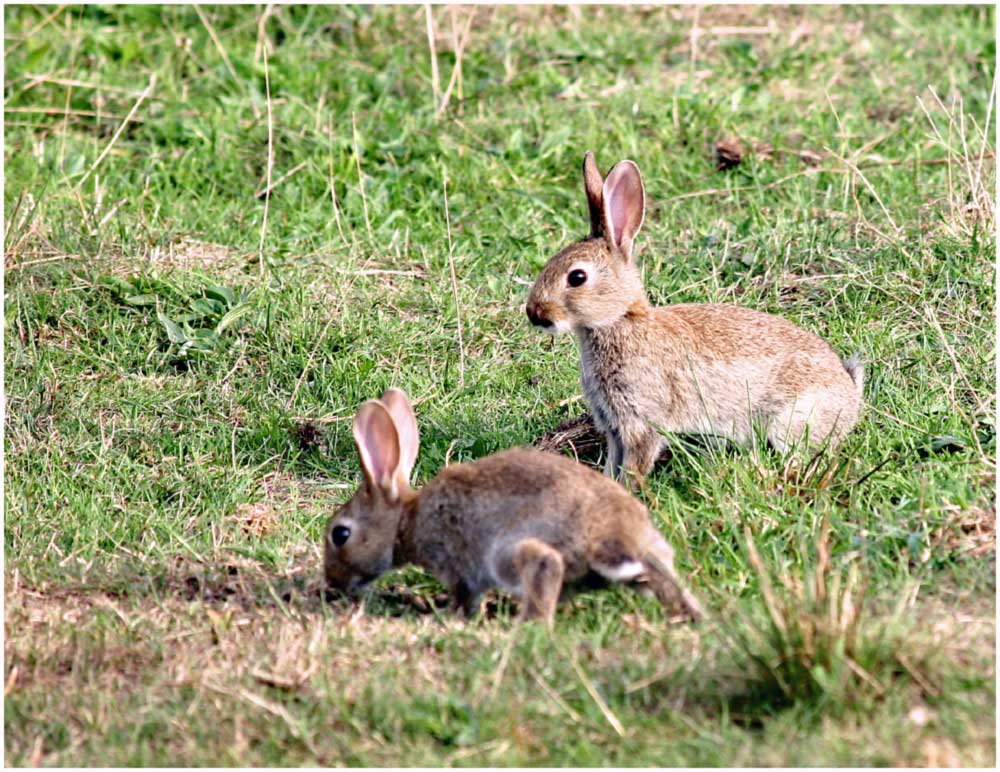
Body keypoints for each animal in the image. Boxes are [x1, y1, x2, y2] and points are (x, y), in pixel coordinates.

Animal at [326, 390, 704, 624]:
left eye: (340, 534)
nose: (332, 584)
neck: (407, 520)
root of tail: (623, 539)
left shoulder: (458, 567)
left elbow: (464, 596)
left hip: (511, 553)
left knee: (544, 567)